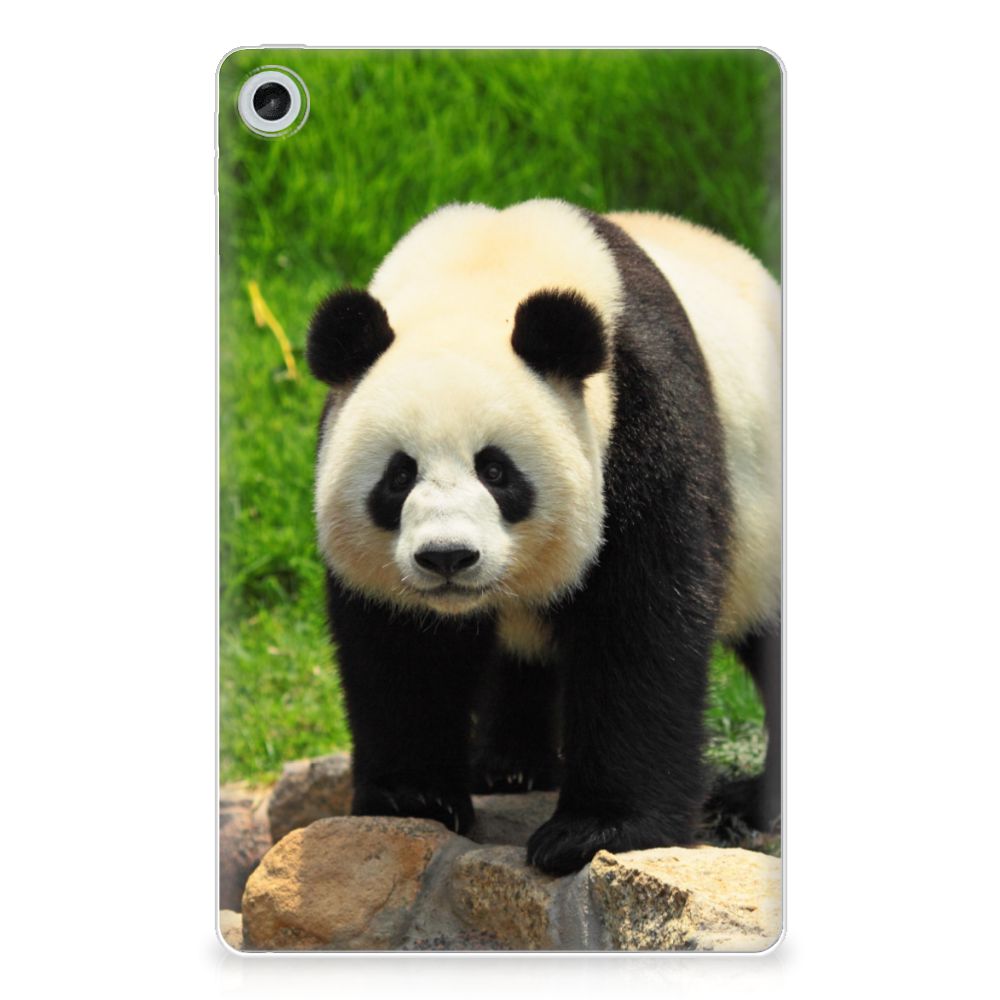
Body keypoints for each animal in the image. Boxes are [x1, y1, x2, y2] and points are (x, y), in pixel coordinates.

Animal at [306, 199, 781, 876]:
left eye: (496, 470)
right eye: (399, 475)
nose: (447, 557)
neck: (482, 272)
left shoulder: (643, 417)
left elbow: (639, 622)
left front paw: (596, 831)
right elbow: (401, 645)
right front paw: (412, 797)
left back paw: (752, 802)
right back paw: (509, 767)